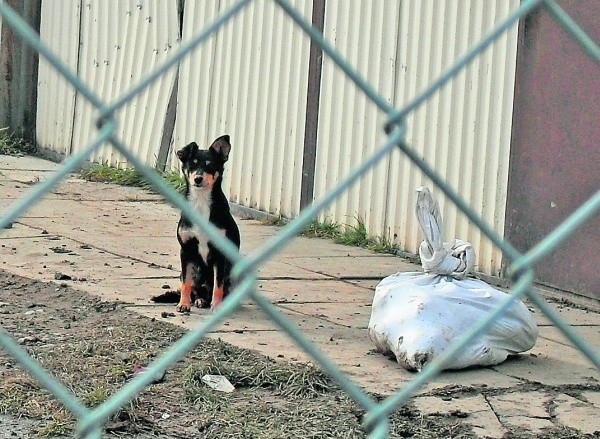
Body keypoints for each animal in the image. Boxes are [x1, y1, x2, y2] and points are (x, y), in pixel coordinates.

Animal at [175, 136, 240, 312]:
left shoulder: (221, 254)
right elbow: (186, 283)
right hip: (195, 270)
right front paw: (183, 304)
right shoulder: (186, 250)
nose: (198, 178)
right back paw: (199, 300)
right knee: (195, 287)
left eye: (210, 165)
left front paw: (217, 307)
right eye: (192, 164)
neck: (201, 201)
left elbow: (218, 286)